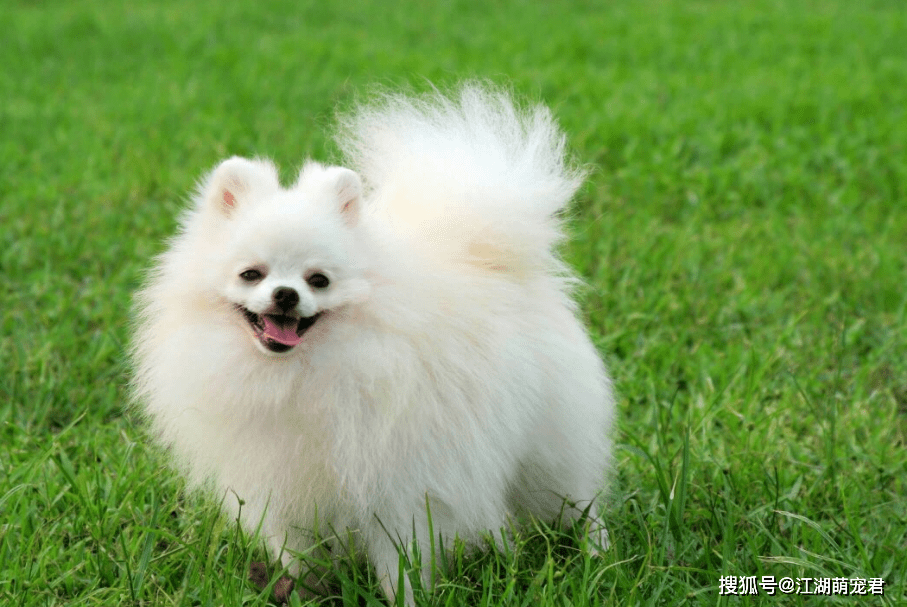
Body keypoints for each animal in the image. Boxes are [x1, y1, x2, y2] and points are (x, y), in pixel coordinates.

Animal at [133, 84, 616, 604]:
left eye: (318, 280)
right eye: (251, 274)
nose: (285, 295)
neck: (300, 373)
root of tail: (494, 258)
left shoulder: (400, 484)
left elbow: (401, 561)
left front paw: (405, 598)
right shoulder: (280, 486)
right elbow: (298, 556)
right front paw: (306, 591)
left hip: (550, 444)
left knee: (580, 499)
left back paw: (599, 554)